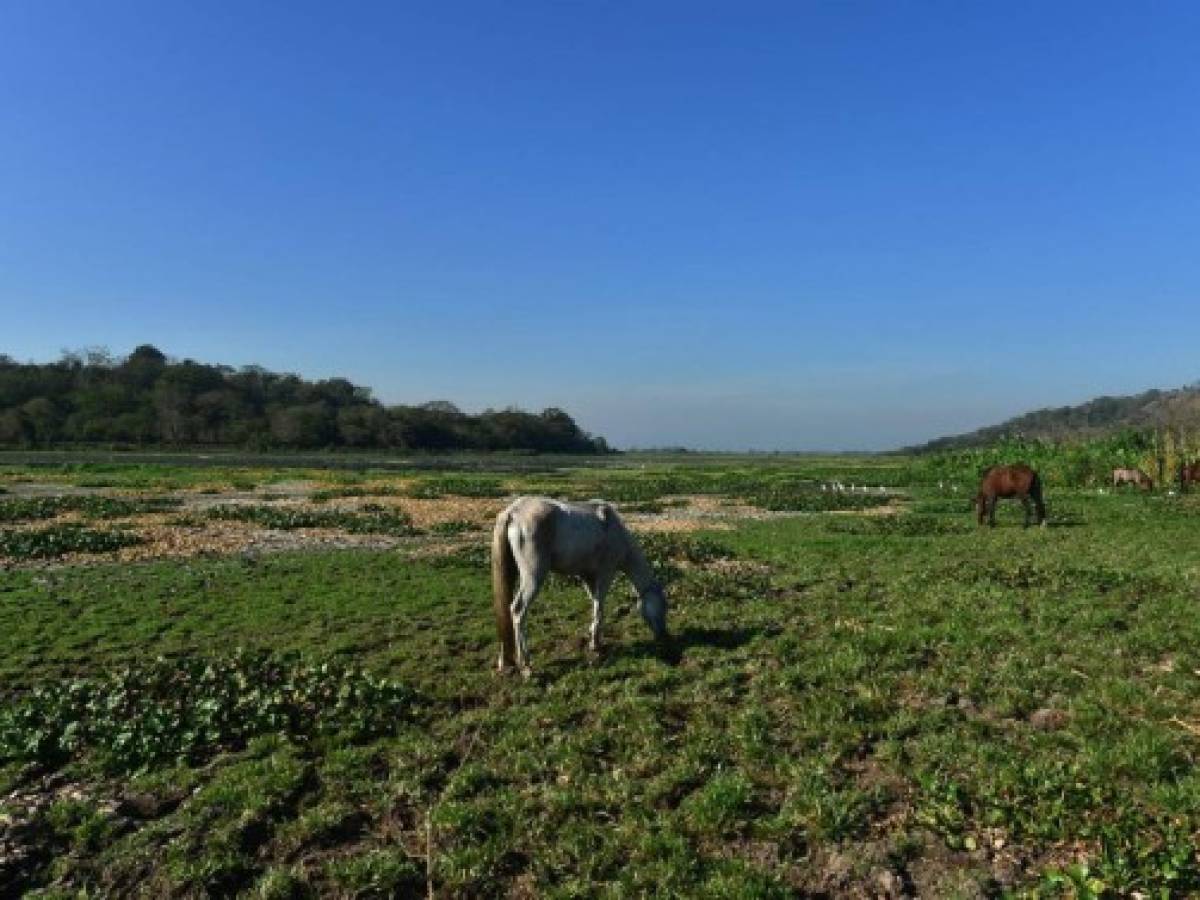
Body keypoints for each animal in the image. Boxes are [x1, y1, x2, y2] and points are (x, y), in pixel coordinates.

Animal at [492, 501, 672, 676]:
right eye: (663, 606)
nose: (664, 635)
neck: (614, 530)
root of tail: (512, 512)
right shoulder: (605, 574)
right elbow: (600, 607)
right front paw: (596, 644)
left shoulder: (587, 577)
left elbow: (595, 604)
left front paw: (593, 636)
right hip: (533, 578)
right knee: (517, 611)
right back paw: (526, 665)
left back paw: (505, 662)